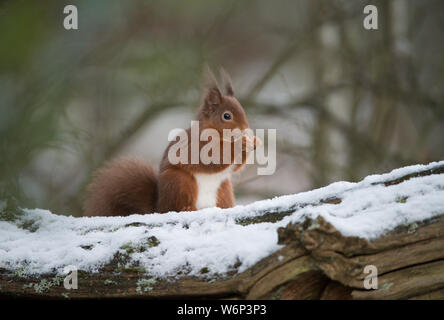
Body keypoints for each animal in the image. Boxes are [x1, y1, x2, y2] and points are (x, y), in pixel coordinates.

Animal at [83, 68, 260, 216]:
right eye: (227, 116)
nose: (245, 128)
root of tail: (158, 207)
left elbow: (236, 167)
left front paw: (254, 142)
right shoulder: (196, 146)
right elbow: (212, 158)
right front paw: (241, 144)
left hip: (224, 189)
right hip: (179, 182)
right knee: (176, 207)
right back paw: (188, 209)